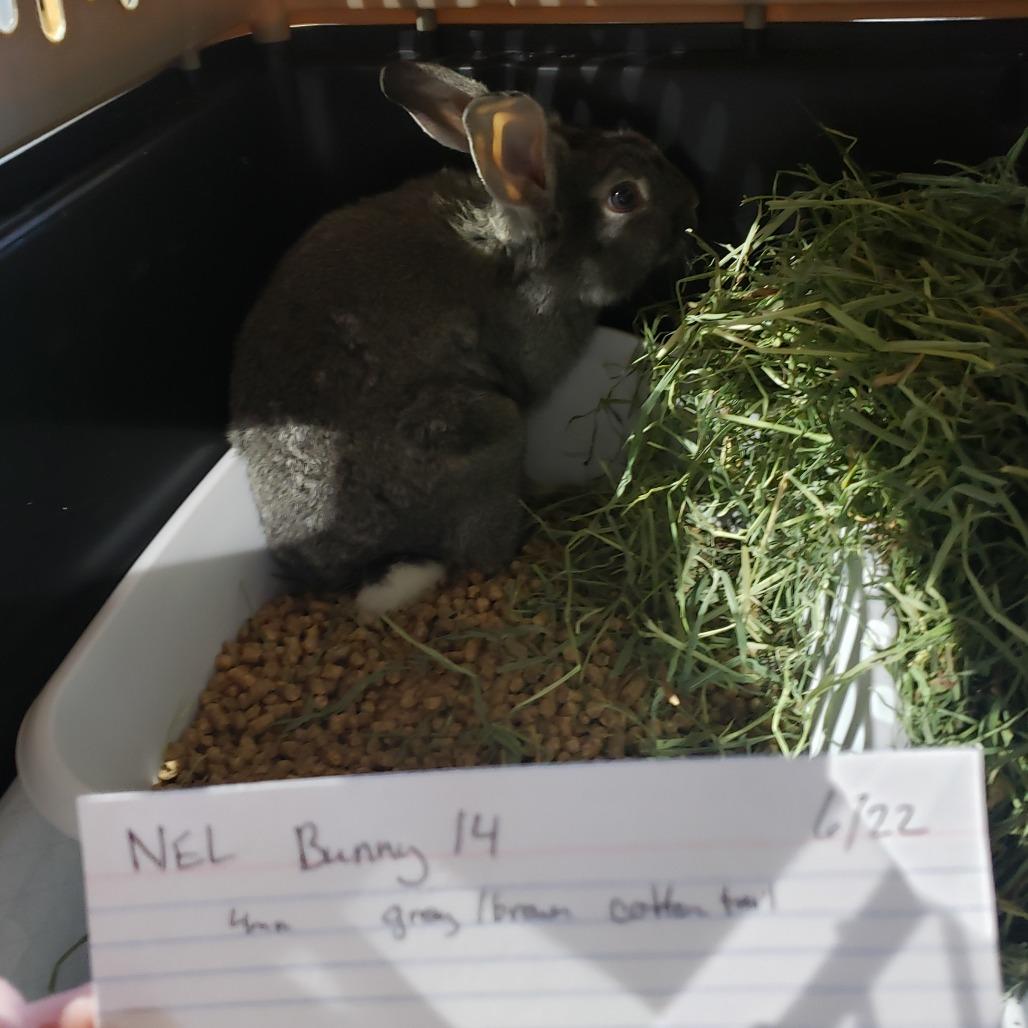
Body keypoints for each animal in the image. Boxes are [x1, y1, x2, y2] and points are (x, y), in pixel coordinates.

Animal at [229, 61, 697, 613]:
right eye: (624, 196)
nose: (692, 202)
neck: (516, 250)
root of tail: (361, 569)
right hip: (483, 428)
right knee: (484, 551)